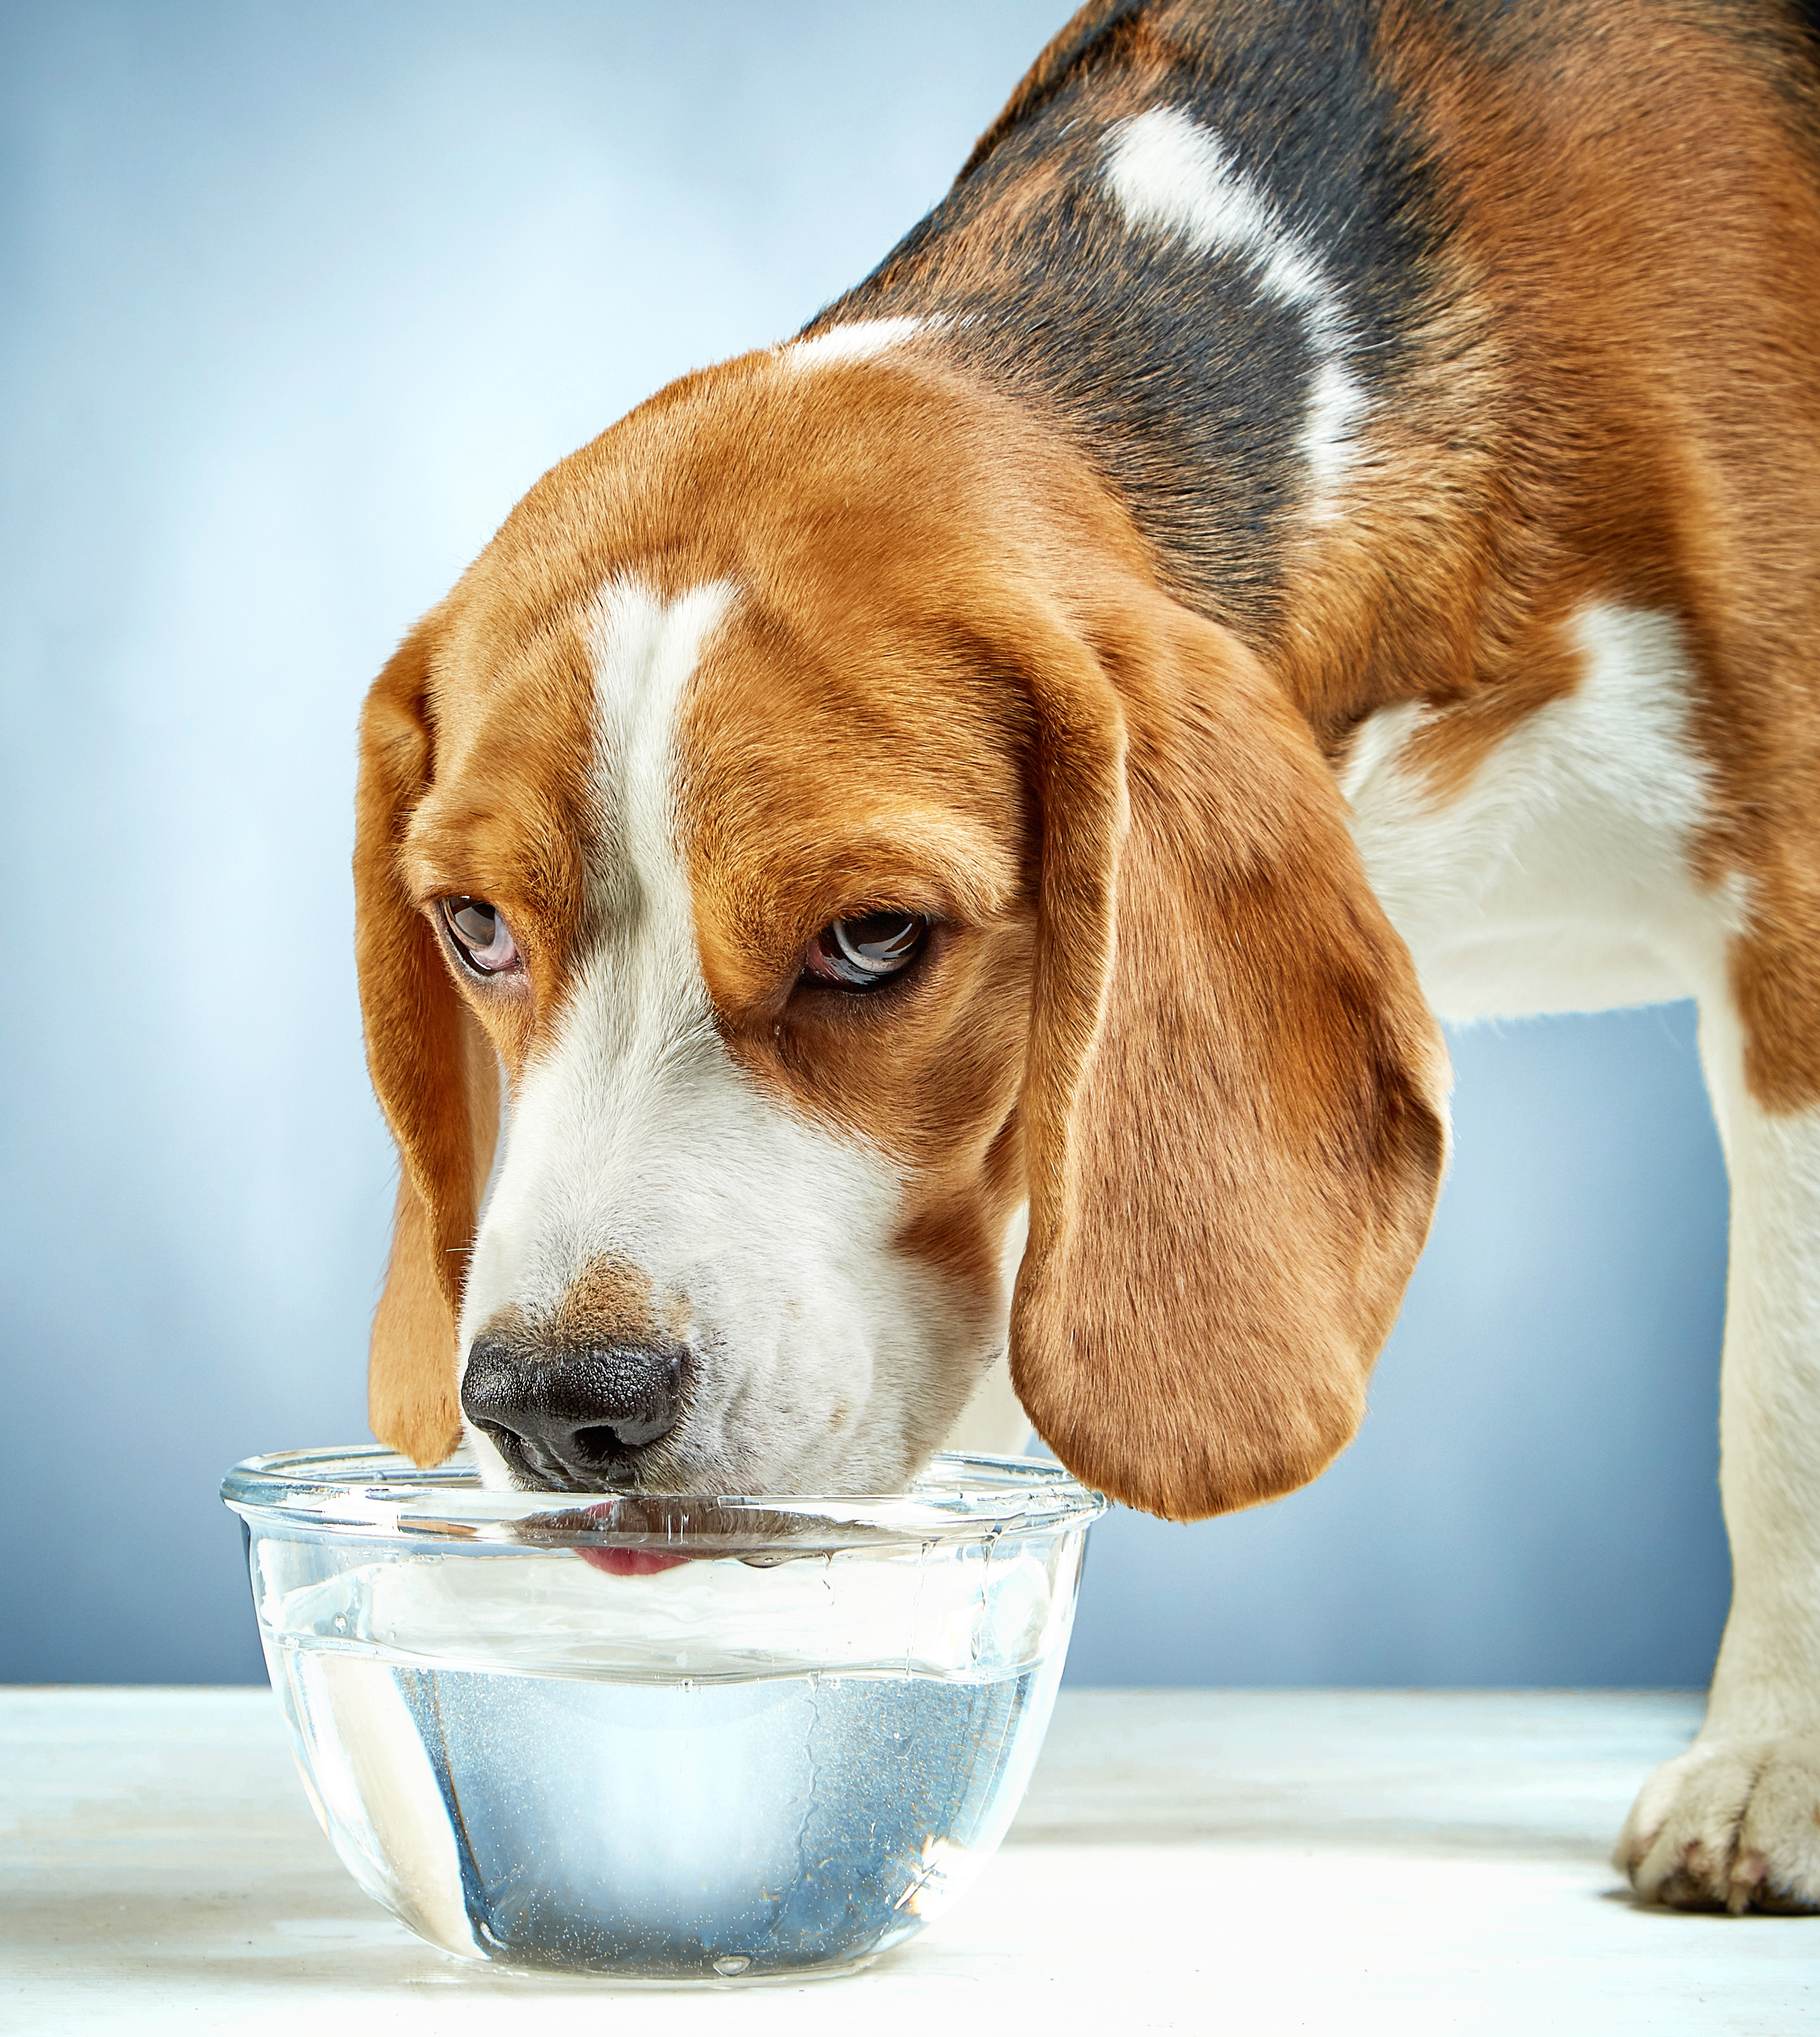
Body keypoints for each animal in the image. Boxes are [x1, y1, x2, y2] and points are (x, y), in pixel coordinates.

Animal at [352, 0, 1820, 1906]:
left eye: (872, 937)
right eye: (474, 926)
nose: (553, 1406)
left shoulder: (1798, 918)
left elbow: (1782, 1384)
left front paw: (1776, 1764)